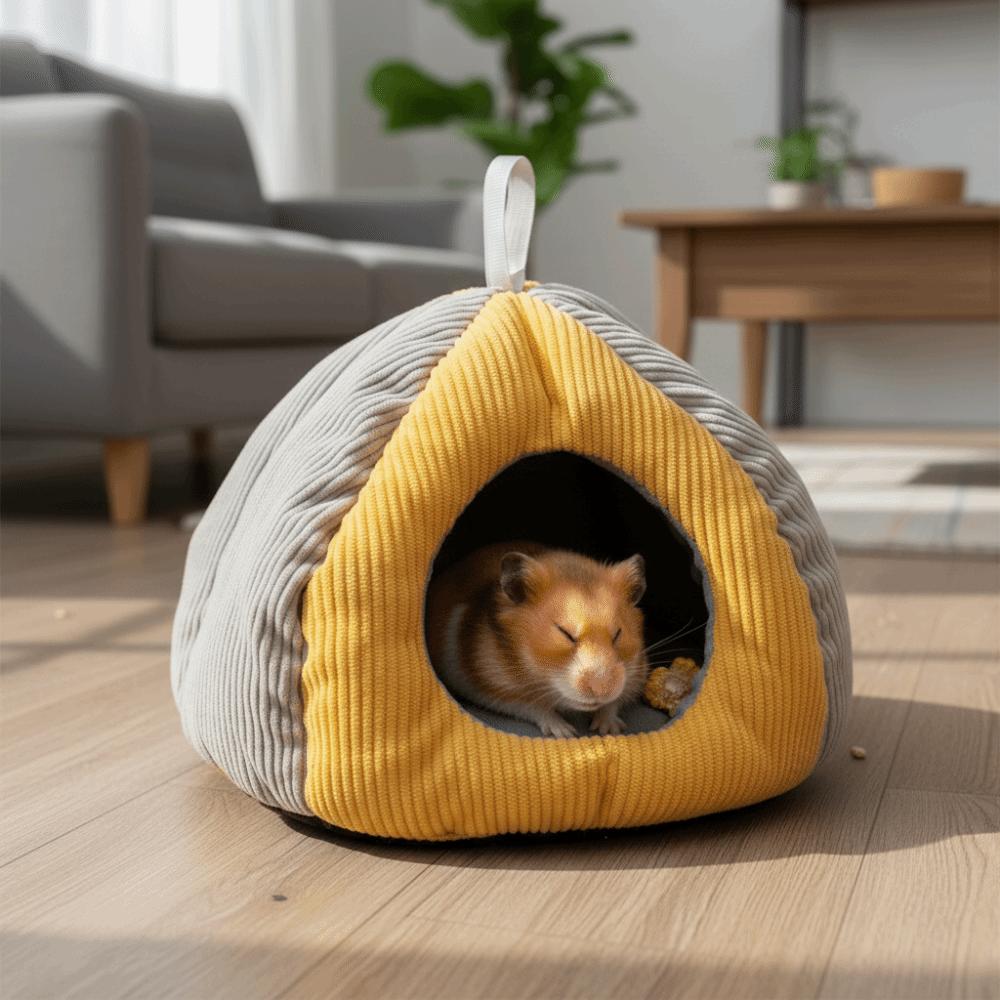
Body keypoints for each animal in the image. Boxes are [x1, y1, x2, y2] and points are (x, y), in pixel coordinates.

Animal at [426, 542, 649, 737]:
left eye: (618, 634)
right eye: (565, 633)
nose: (602, 691)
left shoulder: (636, 674)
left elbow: (614, 702)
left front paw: (608, 729)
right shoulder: (489, 687)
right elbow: (533, 706)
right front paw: (566, 732)